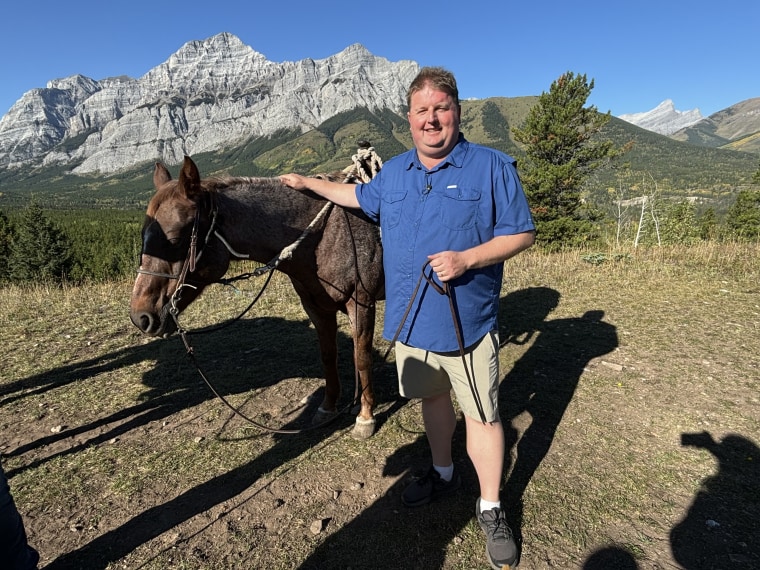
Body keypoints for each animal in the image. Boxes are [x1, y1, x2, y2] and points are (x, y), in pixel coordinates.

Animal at [129, 151, 385, 439]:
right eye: (144, 236)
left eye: (174, 240)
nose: (141, 317)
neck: (325, 236)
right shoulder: (316, 307)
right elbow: (328, 355)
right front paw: (328, 407)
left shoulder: (361, 303)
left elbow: (361, 357)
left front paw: (365, 416)